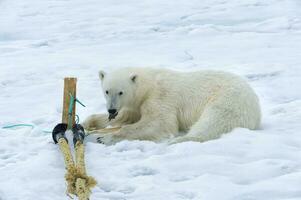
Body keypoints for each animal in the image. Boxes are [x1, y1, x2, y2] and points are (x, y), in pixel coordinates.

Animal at [82, 68, 260, 145]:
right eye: (106, 91)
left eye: (121, 92)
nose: (111, 109)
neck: (148, 85)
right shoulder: (135, 106)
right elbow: (126, 116)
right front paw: (86, 124)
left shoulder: (160, 97)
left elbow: (159, 123)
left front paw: (104, 137)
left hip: (227, 100)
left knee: (213, 122)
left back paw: (180, 139)